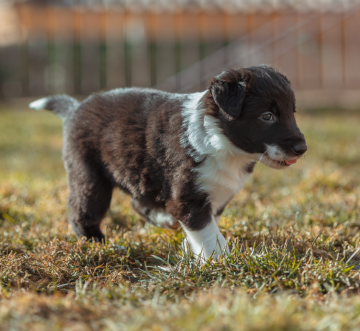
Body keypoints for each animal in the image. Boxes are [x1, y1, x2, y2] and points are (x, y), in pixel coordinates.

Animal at [29, 65, 308, 262]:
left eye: (292, 112)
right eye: (267, 116)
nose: (301, 148)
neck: (224, 143)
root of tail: (75, 109)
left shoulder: (216, 194)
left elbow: (208, 225)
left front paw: (192, 250)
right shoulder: (187, 195)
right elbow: (209, 233)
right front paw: (223, 262)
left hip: (141, 174)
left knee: (137, 201)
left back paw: (164, 220)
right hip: (88, 175)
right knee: (83, 213)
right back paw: (101, 245)